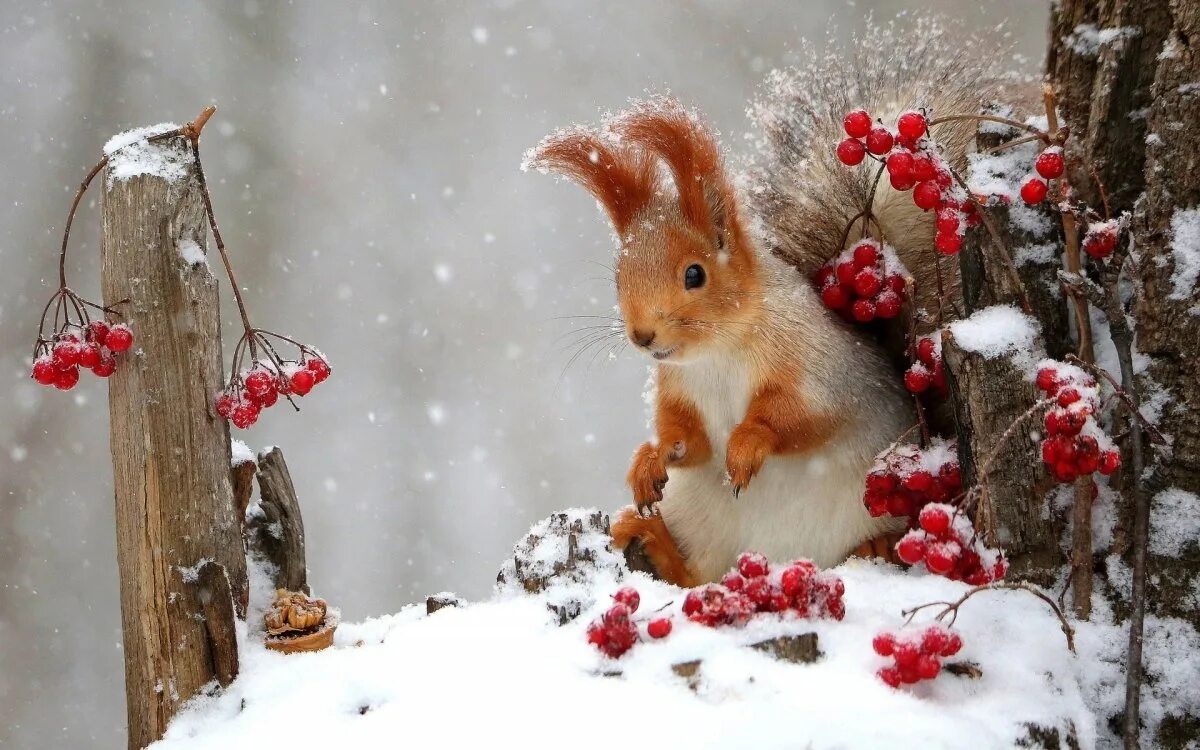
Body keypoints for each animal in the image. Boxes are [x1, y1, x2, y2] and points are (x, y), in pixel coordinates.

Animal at [525, 19, 1012, 585]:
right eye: (619, 277)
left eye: (695, 274)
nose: (642, 336)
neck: (717, 354)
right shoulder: (680, 390)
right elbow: (688, 441)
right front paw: (649, 459)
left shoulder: (818, 370)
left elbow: (797, 418)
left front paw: (747, 443)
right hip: (702, 521)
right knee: (697, 576)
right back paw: (650, 540)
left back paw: (878, 545)